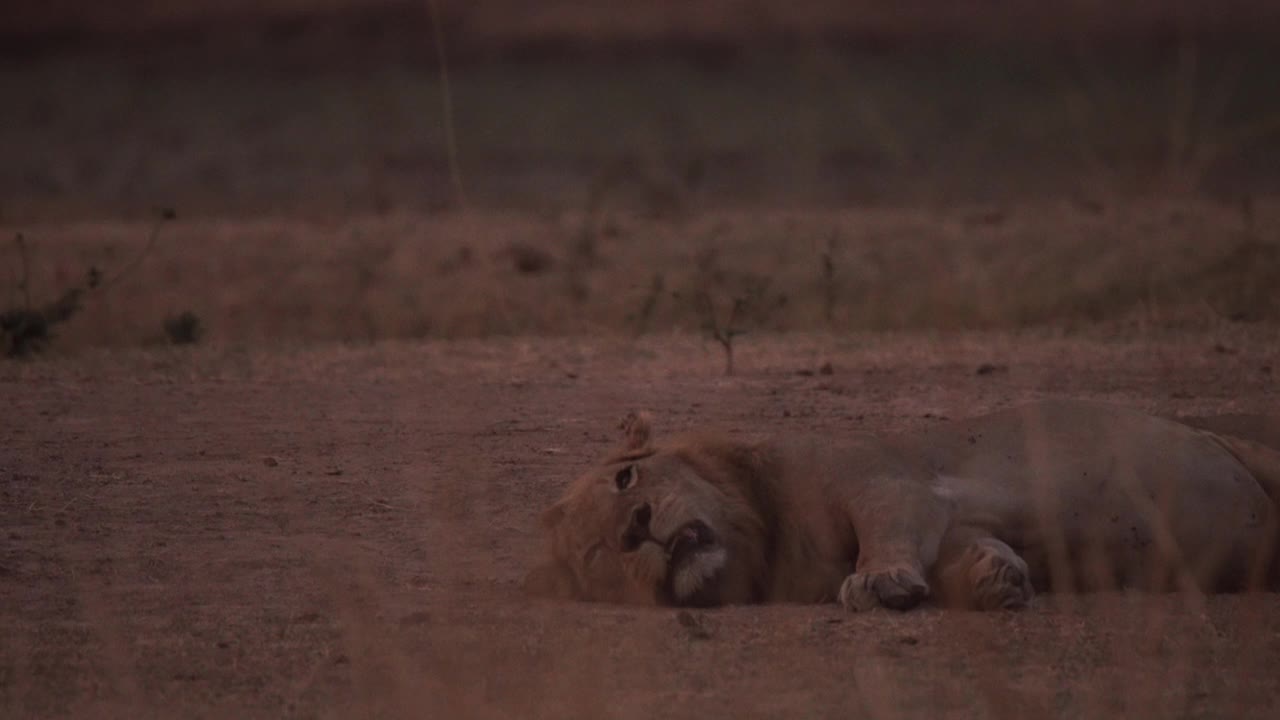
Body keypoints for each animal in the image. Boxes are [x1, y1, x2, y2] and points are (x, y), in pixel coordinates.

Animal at [519, 399, 1280, 607]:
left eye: (627, 482)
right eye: (597, 553)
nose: (637, 528)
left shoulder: (887, 482)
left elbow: (884, 531)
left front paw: (879, 581)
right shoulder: (952, 527)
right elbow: (969, 558)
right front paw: (996, 581)